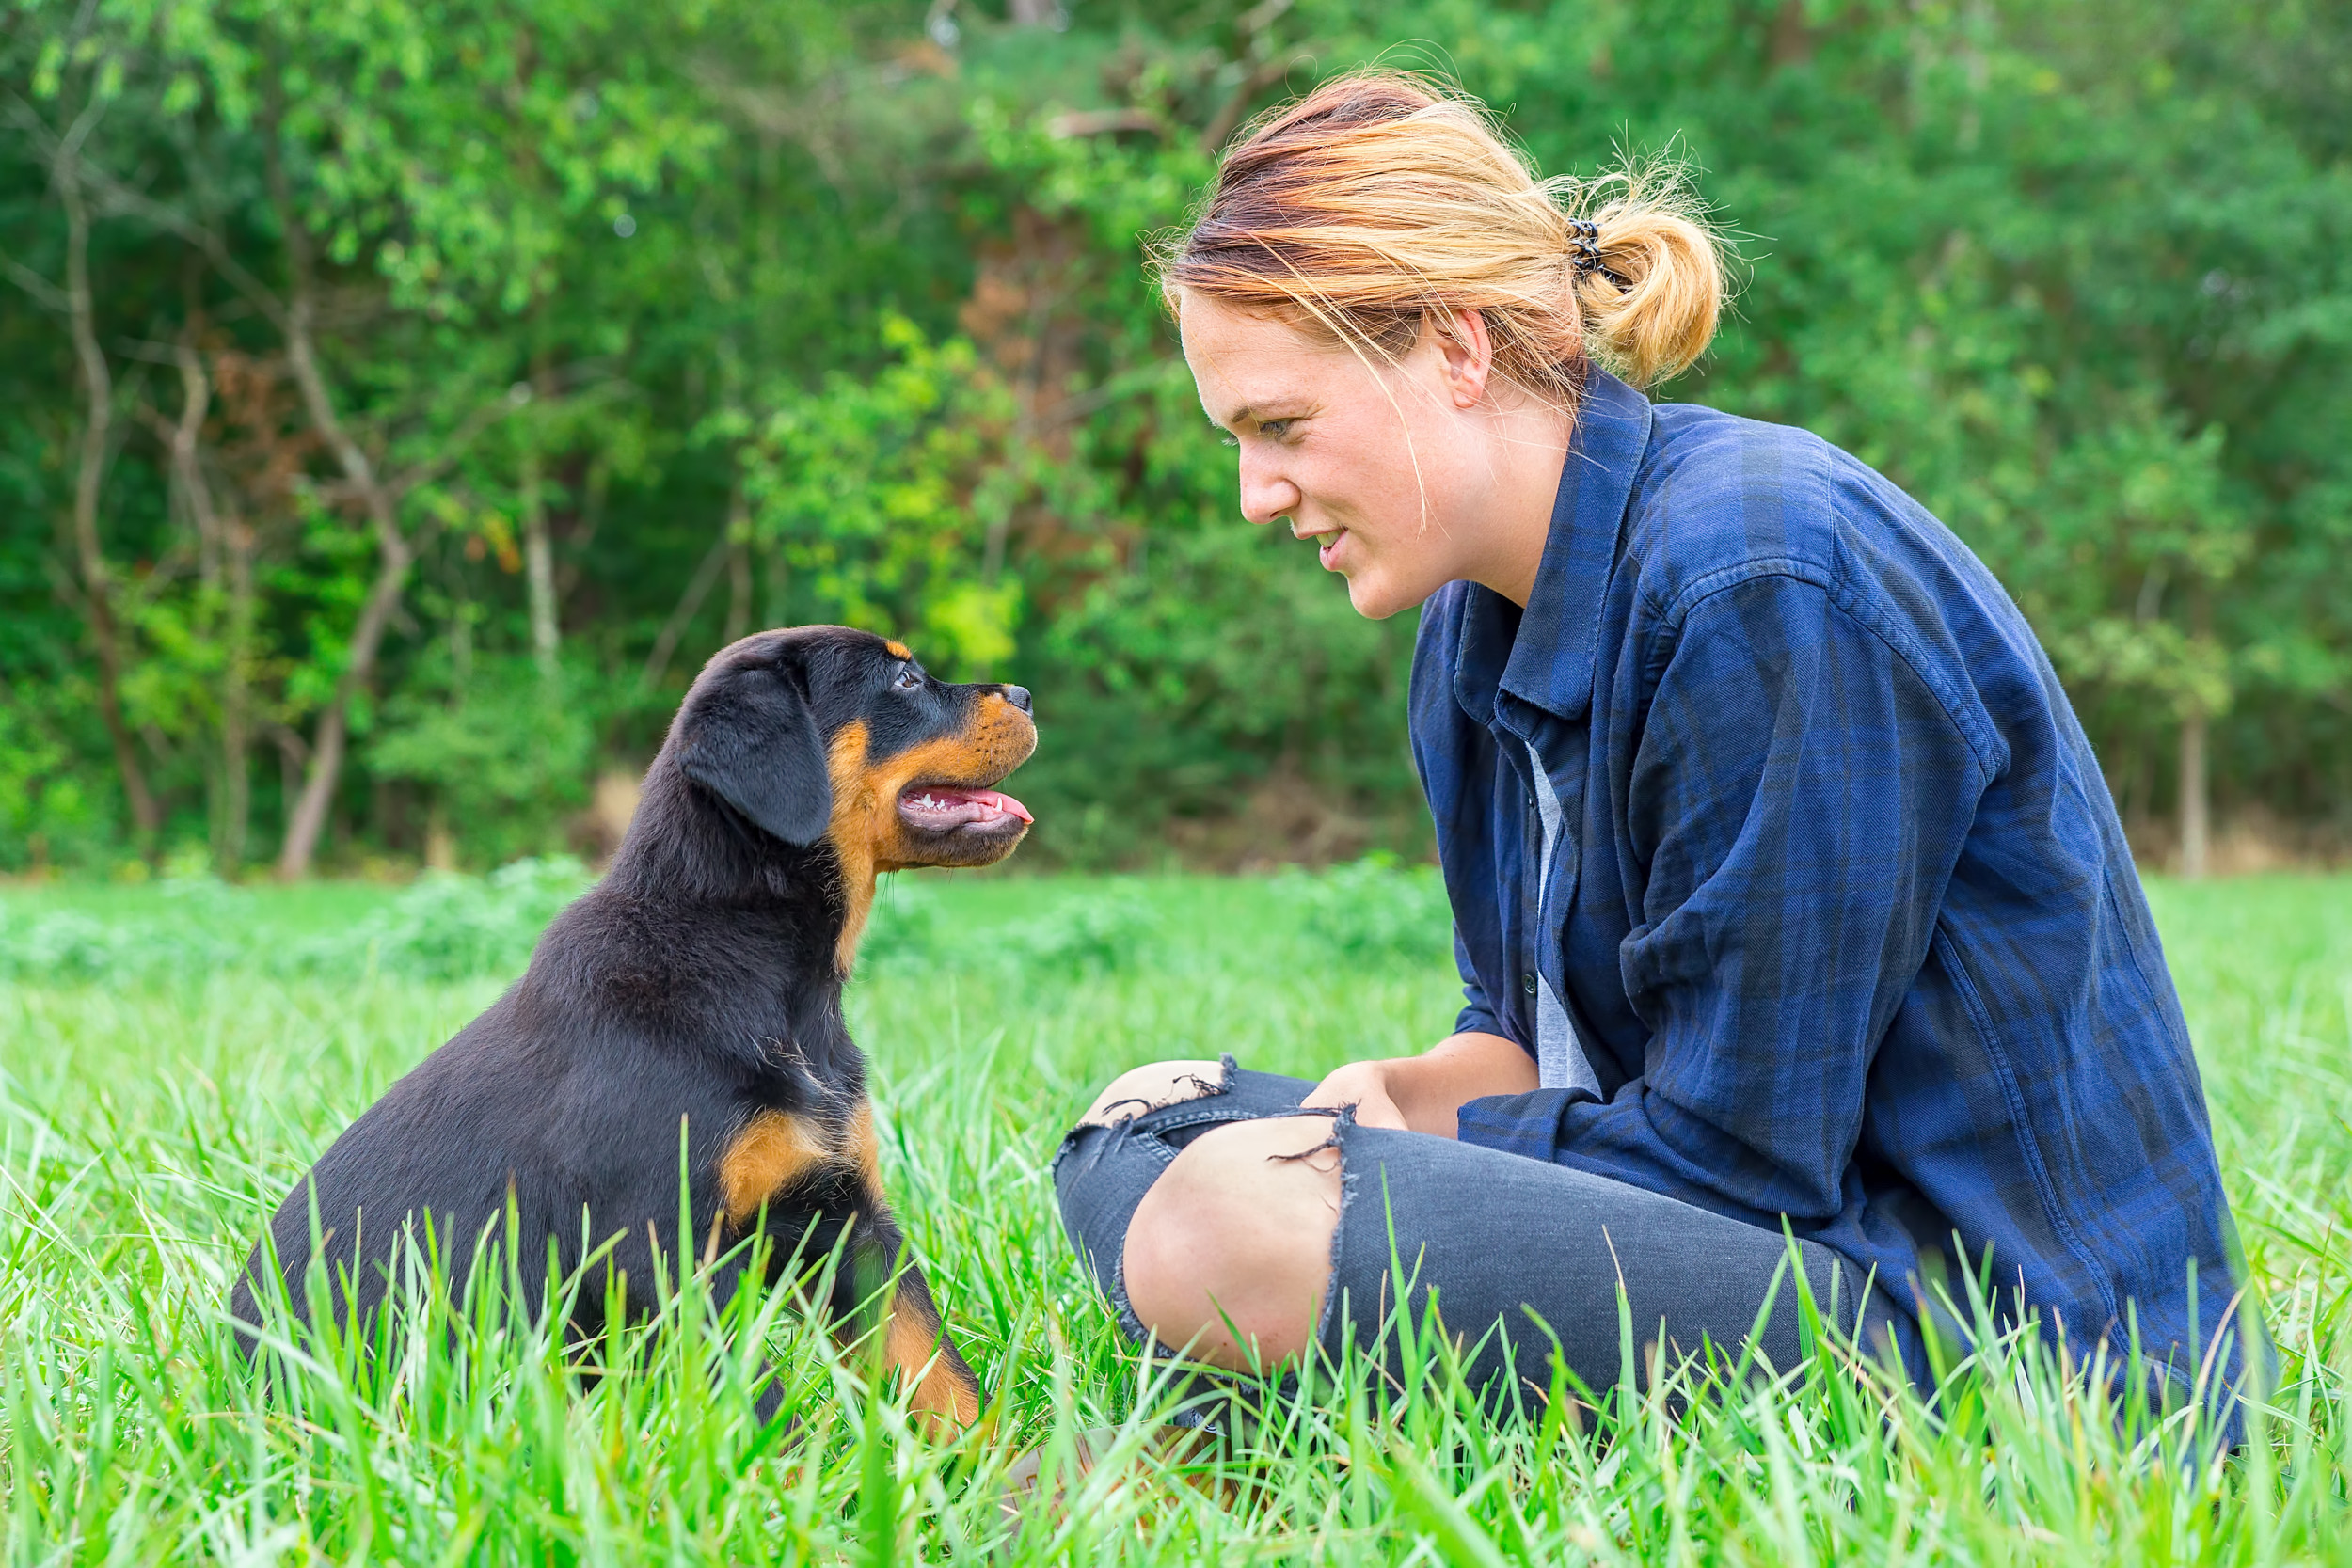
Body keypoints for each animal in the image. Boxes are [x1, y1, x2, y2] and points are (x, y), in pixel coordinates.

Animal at [233, 629, 1035, 1438]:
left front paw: (1005, 1470)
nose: (1026, 694)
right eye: (904, 680)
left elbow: (939, 1370)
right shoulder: (664, 1246)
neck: (769, 976)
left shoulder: (851, 1220)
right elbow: (762, 1403)